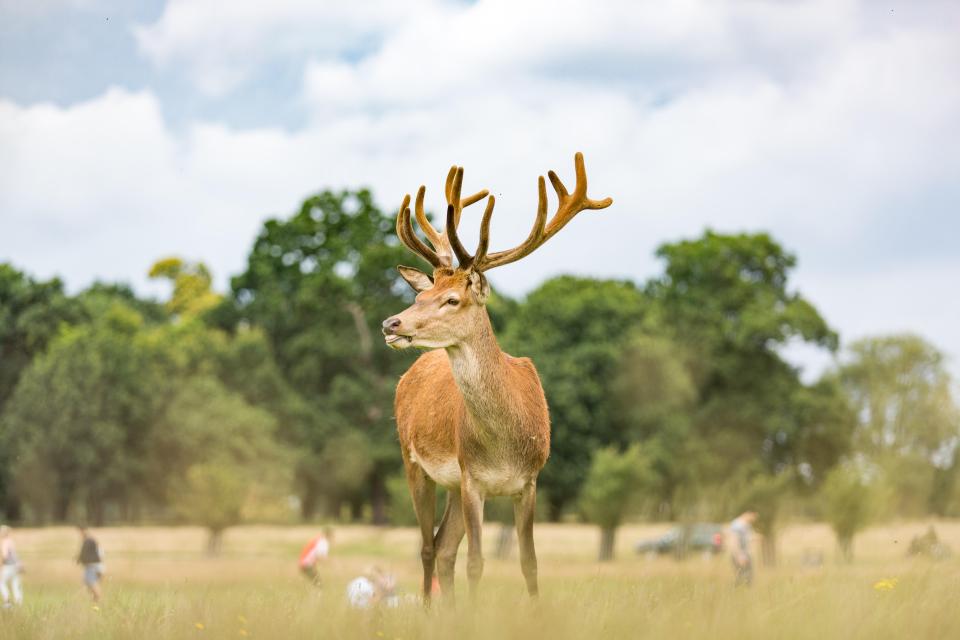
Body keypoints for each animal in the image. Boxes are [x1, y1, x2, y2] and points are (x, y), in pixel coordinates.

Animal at [380, 152, 612, 604]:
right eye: (420, 295)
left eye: (452, 299)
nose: (390, 323)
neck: (504, 443)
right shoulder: (473, 479)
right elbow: (476, 562)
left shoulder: (530, 481)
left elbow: (529, 562)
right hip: (412, 460)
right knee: (429, 548)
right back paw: (431, 610)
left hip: (449, 483)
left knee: (444, 547)